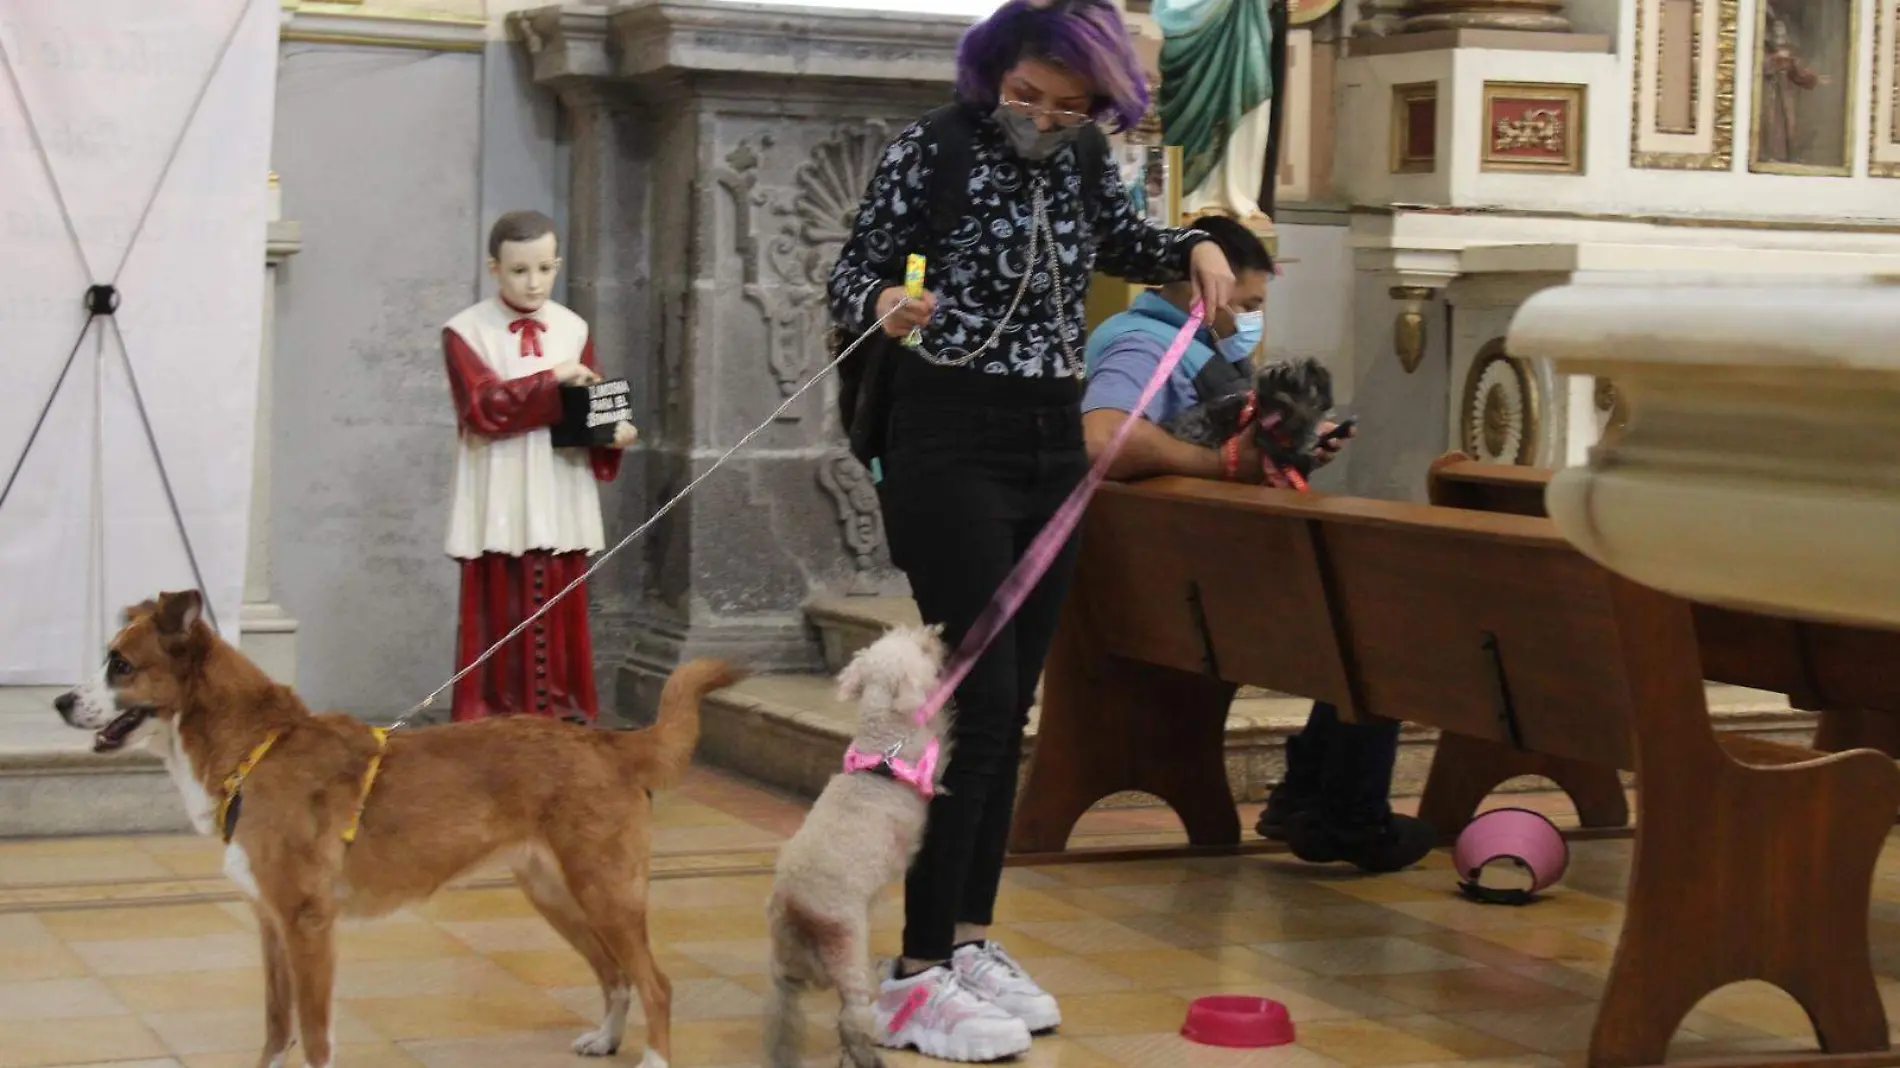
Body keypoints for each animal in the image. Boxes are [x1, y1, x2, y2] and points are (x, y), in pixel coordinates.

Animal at [55, 589, 737, 1064]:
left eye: (120, 664)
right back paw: (606, 1039)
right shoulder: (271, 925)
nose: (60, 701)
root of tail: (609, 741)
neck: (261, 748)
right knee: (615, 974)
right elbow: (277, 1029)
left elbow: (315, 1036)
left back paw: (653, 1059)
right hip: (557, 894)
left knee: (656, 983)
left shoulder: (308, 926)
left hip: (605, 893)